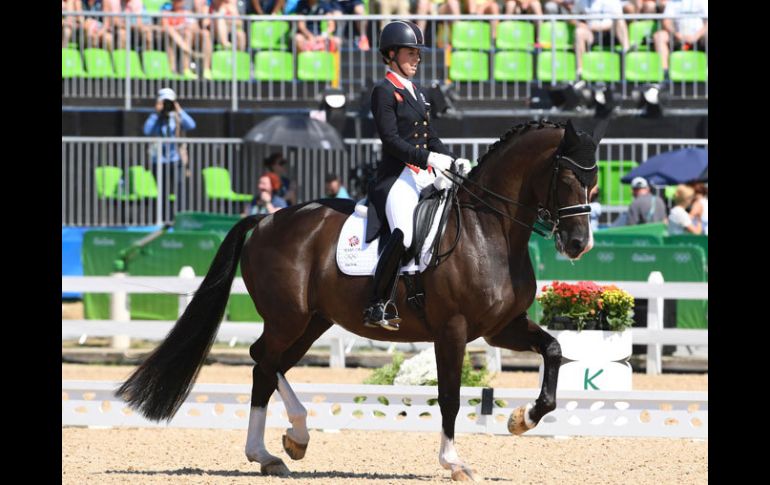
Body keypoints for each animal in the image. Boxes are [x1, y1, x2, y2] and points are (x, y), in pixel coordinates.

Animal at [118, 120, 600, 480]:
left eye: (594, 182)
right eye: (568, 177)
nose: (579, 244)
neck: (488, 230)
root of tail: (266, 219)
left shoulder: (501, 327)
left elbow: (553, 350)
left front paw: (523, 419)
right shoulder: (453, 330)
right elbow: (448, 396)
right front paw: (454, 462)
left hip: (313, 321)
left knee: (266, 365)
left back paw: (284, 447)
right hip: (289, 318)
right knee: (263, 360)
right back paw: (277, 446)